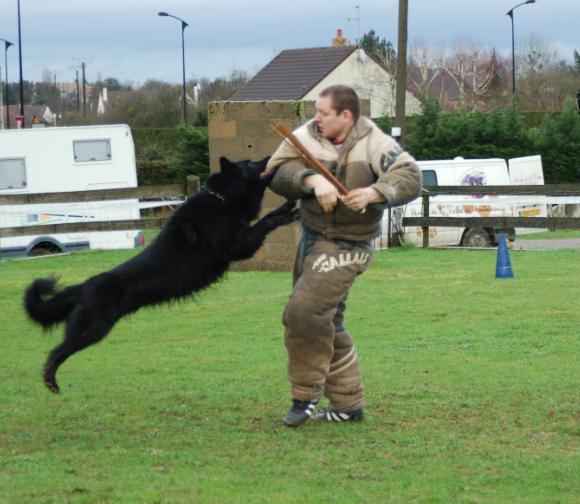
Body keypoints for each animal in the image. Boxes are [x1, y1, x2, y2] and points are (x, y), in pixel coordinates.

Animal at [24, 158, 296, 394]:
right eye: (250, 163)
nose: (269, 157)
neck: (222, 201)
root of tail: (84, 286)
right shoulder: (237, 248)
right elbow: (264, 223)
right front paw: (283, 215)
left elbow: (266, 217)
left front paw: (287, 206)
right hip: (90, 330)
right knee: (56, 352)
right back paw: (50, 378)